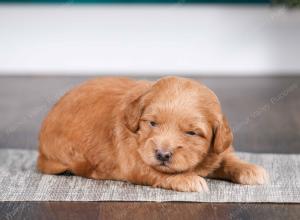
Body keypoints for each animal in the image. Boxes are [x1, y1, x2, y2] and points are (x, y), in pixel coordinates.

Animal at [37, 76, 268, 192]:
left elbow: (226, 158)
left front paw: (250, 169)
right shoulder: (133, 161)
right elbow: (158, 172)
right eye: (152, 123)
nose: (162, 154)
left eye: (192, 133)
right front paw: (188, 179)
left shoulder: (218, 150)